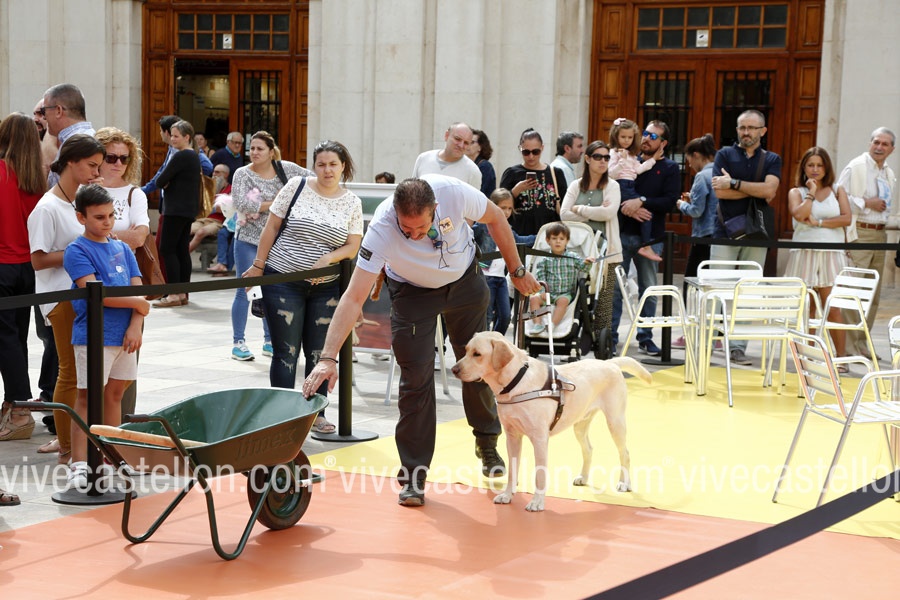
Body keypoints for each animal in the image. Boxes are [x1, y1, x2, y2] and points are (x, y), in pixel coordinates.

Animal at [451, 331, 651, 511]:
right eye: (466, 350)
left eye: (477, 354)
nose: (454, 369)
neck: (515, 382)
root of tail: (609, 362)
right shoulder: (512, 437)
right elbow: (512, 471)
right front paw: (507, 495)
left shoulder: (540, 439)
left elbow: (540, 474)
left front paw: (537, 503)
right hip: (580, 425)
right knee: (588, 449)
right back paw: (583, 477)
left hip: (615, 421)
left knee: (625, 453)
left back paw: (624, 483)